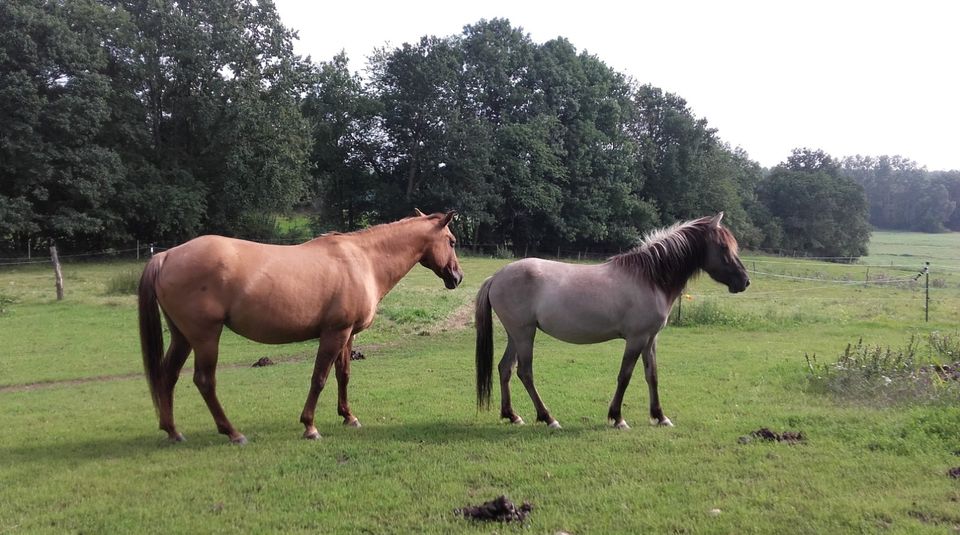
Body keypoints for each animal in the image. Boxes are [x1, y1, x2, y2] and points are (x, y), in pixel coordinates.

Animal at [138, 209, 462, 444]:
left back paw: (173, 431)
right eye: (452, 241)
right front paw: (310, 426)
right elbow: (319, 378)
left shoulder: (347, 335)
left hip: (183, 336)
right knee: (204, 381)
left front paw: (348, 417)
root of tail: (165, 256)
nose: (457, 276)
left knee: (168, 376)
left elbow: (343, 375)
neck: (363, 260)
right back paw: (232, 433)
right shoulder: (334, 334)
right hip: (205, 337)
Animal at [472, 215, 752, 432]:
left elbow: (652, 375)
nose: (745, 281)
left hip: (515, 335)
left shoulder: (651, 339)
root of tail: (497, 276)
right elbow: (625, 376)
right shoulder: (636, 339)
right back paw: (548, 418)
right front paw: (617, 418)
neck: (650, 278)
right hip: (524, 334)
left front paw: (660, 416)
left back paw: (512, 415)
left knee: (505, 369)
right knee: (525, 372)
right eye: (723, 248)